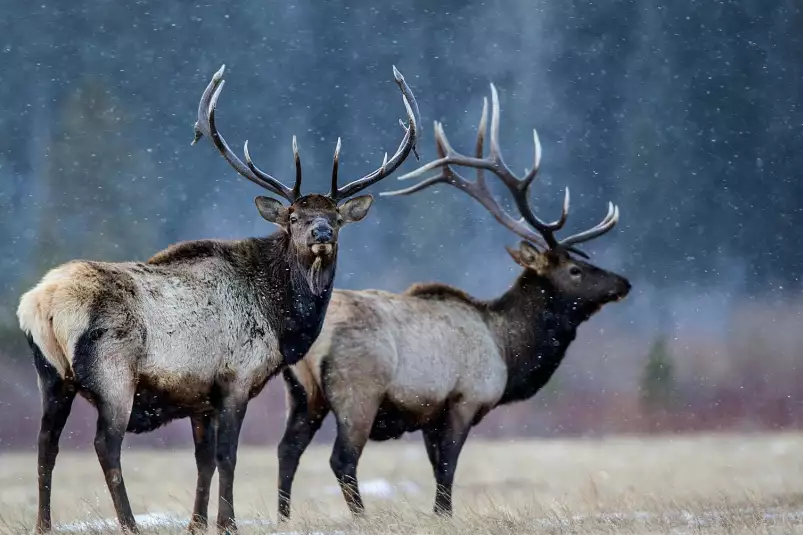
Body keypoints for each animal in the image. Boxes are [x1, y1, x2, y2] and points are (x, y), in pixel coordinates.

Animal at [18, 65, 420, 532]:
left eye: (336, 217)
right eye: (293, 217)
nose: (321, 233)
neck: (280, 318)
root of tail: (40, 304)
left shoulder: (199, 397)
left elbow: (204, 461)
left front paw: (197, 522)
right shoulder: (236, 379)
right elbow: (228, 457)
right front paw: (227, 521)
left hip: (50, 376)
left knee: (45, 445)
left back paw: (44, 523)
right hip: (113, 374)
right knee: (105, 445)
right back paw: (130, 522)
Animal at [276, 84, 636, 520]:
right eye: (575, 270)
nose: (623, 282)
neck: (506, 348)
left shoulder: (431, 414)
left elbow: (437, 468)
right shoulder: (464, 400)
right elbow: (446, 471)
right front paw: (442, 515)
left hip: (300, 394)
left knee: (287, 451)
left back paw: (283, 517)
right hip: (358, 390)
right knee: (342, 459)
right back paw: (361, 517)